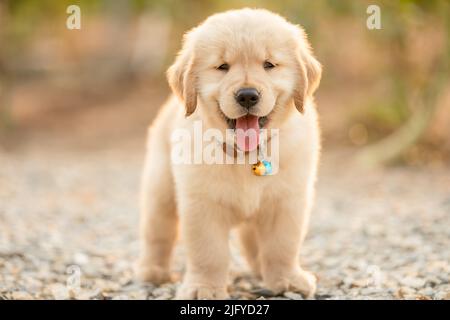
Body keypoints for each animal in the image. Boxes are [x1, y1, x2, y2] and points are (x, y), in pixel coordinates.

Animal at [135, 8, 322, 300]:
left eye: (269, 65)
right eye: (222, 67)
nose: (247, 96)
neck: (245, 154)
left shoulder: (287, 200)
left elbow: (282, 245)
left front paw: (287, 280)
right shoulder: (202, 204)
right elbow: (208, 253)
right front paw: (204, 288)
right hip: (160, 187)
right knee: (158, 232)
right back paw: (152, 270)